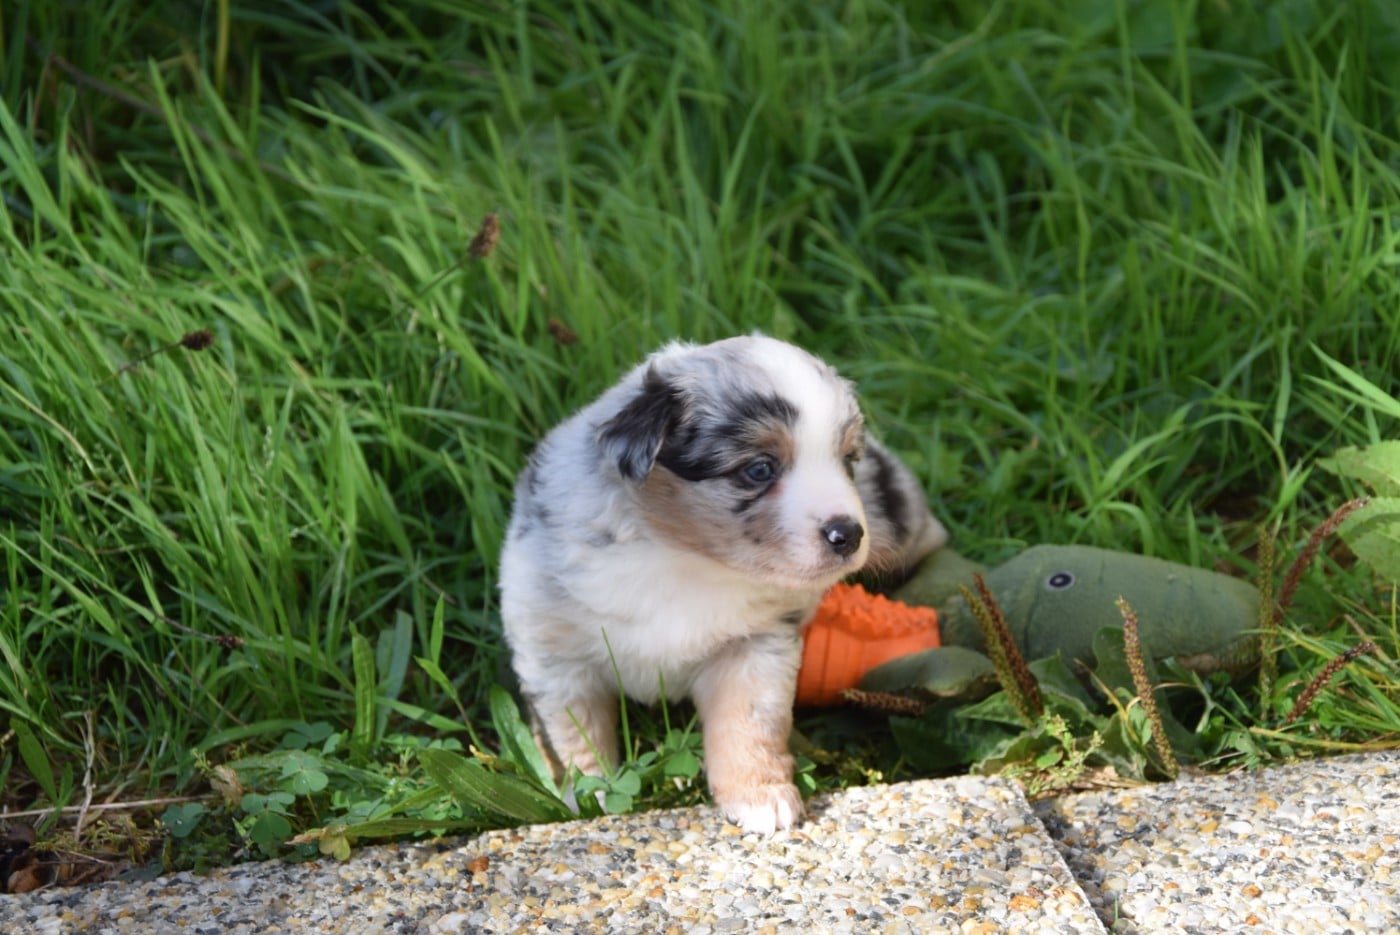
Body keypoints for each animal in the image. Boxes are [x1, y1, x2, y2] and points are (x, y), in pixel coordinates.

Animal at [499, 335, 946, 833]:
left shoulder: (756, 644)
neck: (681, 557)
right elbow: (574, 734)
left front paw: (761, 796)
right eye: (759, 469)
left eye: (847, 460)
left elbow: (749, 722)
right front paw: (585, 797)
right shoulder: (553, 652)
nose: (848, 534)